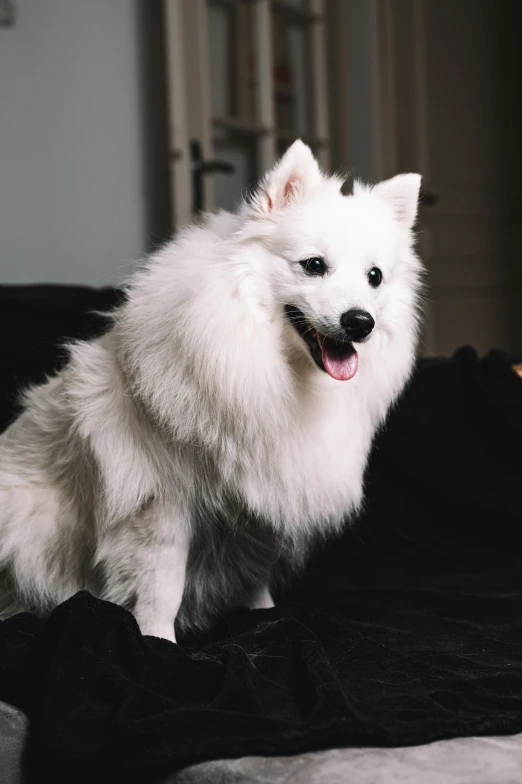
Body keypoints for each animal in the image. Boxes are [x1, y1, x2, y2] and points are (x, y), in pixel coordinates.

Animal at [0, 142, 420, 644]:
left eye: (375, 277)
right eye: (314, 266)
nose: (361, 322)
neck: (265, 365)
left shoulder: (257, 502)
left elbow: (254, 574)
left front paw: (264, 615)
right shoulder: (163, 505)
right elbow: (163, 587)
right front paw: (156, 642)